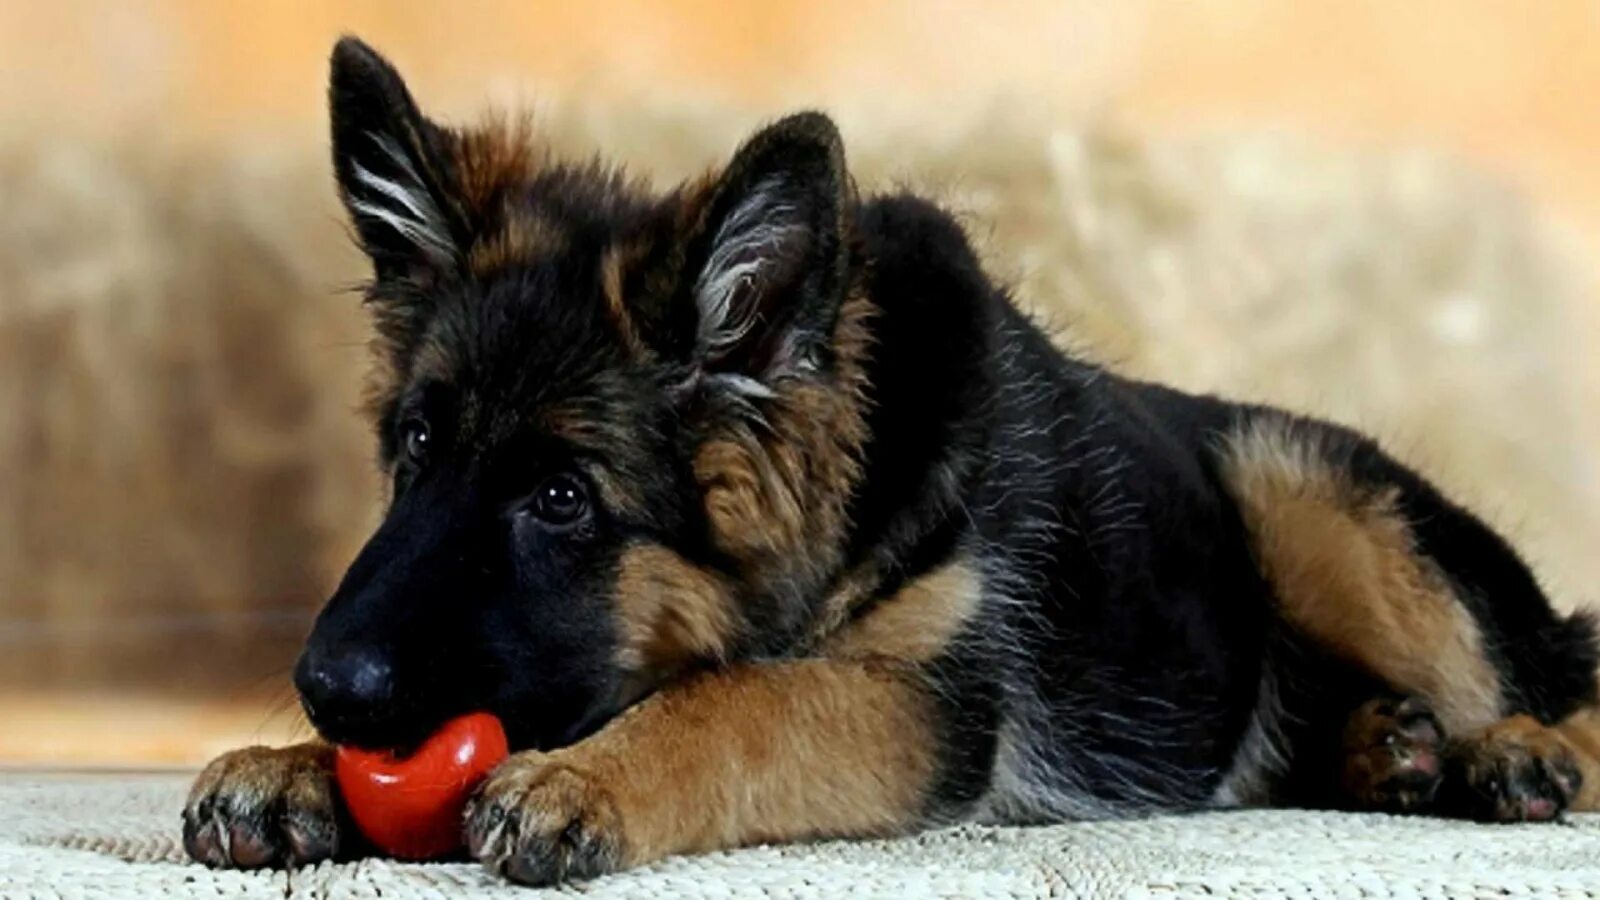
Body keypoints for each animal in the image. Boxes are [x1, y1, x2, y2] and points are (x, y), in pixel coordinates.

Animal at [181, 38, 1600, 877]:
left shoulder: (927, 703)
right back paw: (1390, 753)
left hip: (1301, 493)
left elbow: (742, 701)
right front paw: (283, 769)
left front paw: (589, 779)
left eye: (562, 499)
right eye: (417, 447)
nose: (324, 689)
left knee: (1553, 682)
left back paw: (1514, 755)